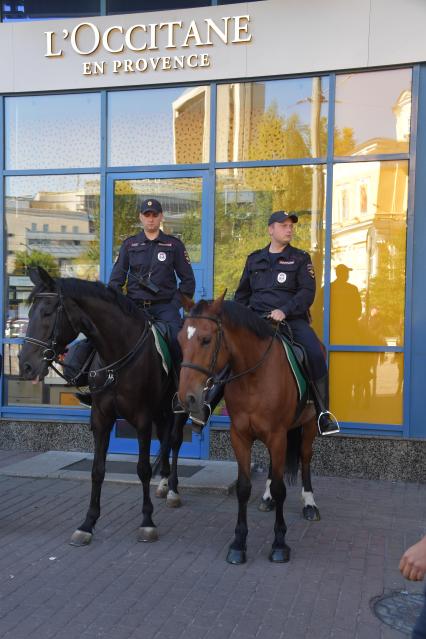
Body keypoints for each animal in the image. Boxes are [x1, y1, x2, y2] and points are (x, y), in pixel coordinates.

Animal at [19, 268, 187, 548]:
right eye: (30, 312)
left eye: (48, 312)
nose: (25, 366)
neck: (117, 354)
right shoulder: (101, 418)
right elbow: (97, 471)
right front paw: (87, 524)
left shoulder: (142, 419)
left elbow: (142, 469)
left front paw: (147, 521)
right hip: (160, 409)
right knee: (165, 435)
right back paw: (163, 482)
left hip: (177, 409)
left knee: (173, 441)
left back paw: (172, 489)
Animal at [176, 296, 320, 564]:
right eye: (180, 339)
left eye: (206, 339)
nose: (186, 398)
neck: (254, 376)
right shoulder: (239, 436)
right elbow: (243, 488)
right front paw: (238, 543)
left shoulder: (277, 436)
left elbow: (281, 487)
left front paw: (279, 544)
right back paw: (267, 499)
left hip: (308, 426)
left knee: (305, 459)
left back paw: (309, 504)